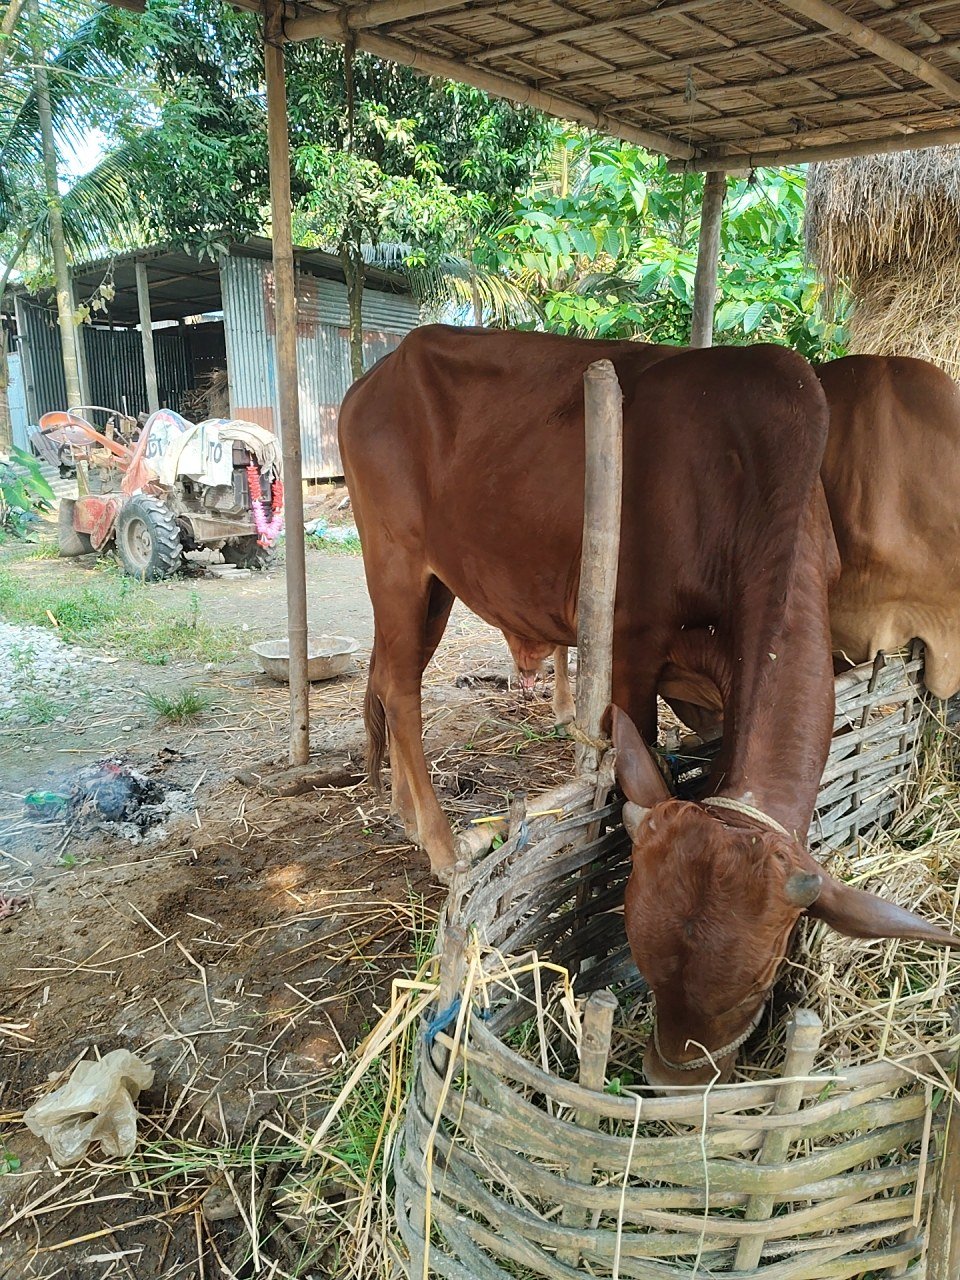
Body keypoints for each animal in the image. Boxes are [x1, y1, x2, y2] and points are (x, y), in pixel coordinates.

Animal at [340, 325, 960, 1085]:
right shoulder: (630, 643)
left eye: (760, 983)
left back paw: (403, 809)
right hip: (395, 560)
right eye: (641, 955)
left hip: (436, 585)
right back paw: (438, 841)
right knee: (401, 690)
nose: (669, 1082)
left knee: (387, 681)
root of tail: (378, 375)